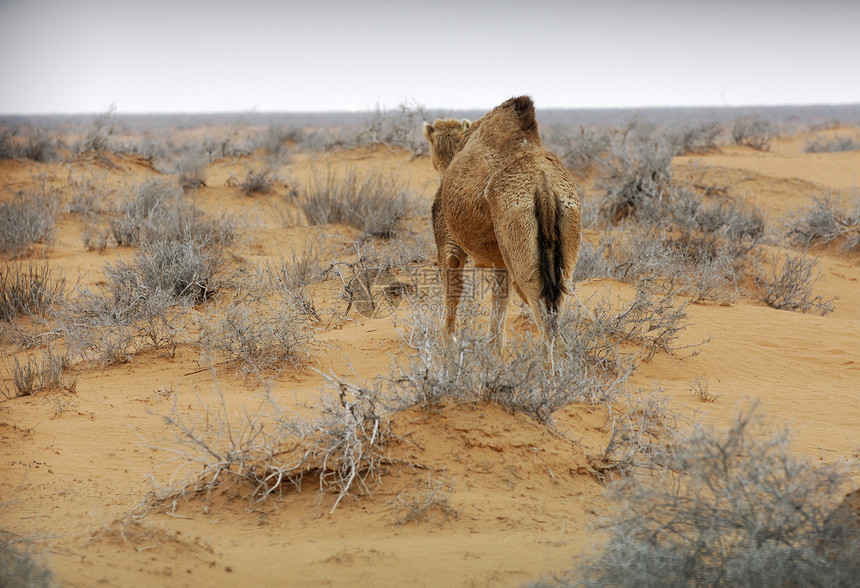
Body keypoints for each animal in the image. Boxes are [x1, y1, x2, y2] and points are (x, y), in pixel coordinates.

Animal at [424, 95, 584, 344]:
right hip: (567, 227)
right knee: (555, 308)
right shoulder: (500, 260)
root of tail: (544, 186)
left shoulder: (449, 240)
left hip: (518, 231)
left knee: (541, 311)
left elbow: (453, 280)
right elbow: (499, 302)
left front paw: (448, 342)